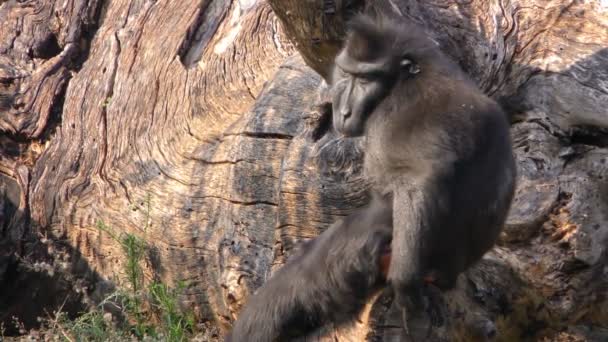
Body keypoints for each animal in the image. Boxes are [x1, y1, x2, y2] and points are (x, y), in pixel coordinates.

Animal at [330, 14, 516, 332]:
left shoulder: (393, 115)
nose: (343, 112)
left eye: (365, 80)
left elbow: (418, 181)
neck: (409, 75)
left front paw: (406, 285)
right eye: (346, 74)